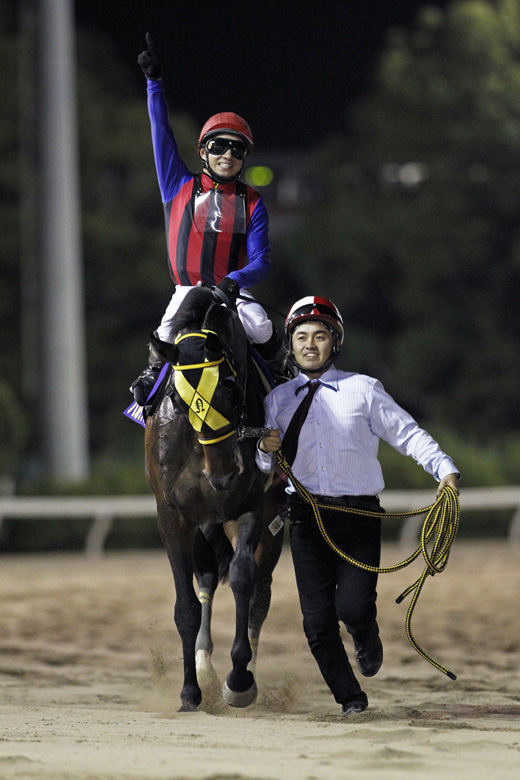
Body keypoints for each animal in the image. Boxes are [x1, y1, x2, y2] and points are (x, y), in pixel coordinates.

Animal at [144, 285, 284, 712]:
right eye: (178, 399)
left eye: (229, 389)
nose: (221, 475)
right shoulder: (173, 513)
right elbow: (186, 605)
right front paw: (190, 691)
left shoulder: (252, 505)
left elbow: (242, 578)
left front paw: (239, 680)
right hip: (205, 523)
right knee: (205, 575)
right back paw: (204, 667)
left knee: (260, 591)